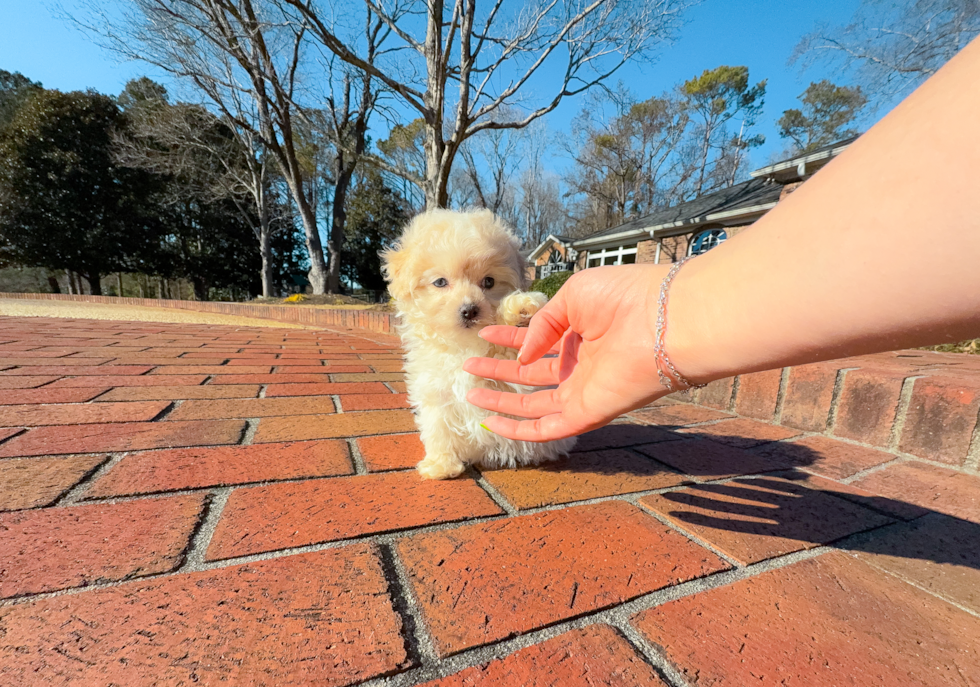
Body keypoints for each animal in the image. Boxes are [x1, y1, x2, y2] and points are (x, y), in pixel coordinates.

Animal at [382, 207, 576, 482]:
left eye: (489, 282)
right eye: (440, 282)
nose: (470, 310)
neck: (465, 345)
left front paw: (521, 311)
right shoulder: (435, 392)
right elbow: (438, 428)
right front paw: (441, 465)